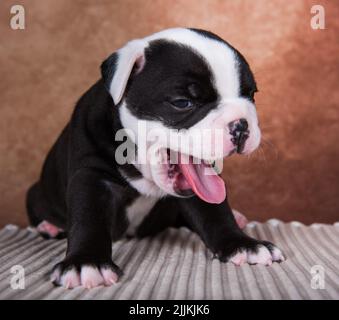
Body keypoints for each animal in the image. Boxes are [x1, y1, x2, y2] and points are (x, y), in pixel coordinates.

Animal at [26, 28, 286, 288]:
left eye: (251, 95)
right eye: (182, 102)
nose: (241, 125)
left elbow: (215, 212)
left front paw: (243, 245)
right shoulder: (91, 176)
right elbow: (88, 217)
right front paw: (86, 262)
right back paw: (50, 225)